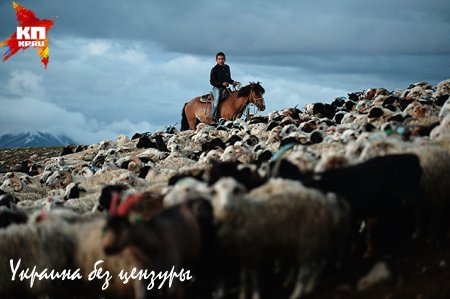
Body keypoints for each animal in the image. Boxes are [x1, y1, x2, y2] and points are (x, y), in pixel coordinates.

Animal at [211, 178, 352, 299]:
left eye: (235, 190)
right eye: (217, 192)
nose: (226, 206)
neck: (244, 210)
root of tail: (322, 199)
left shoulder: (254, 250)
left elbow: (253, 277)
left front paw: (255, 295)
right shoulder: (242, 252)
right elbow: (243, 276)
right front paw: (242, 294)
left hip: (307, 237)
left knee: (307, 268)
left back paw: (298, 292)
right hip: (306, 240)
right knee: (312, 263)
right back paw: (305, 285)